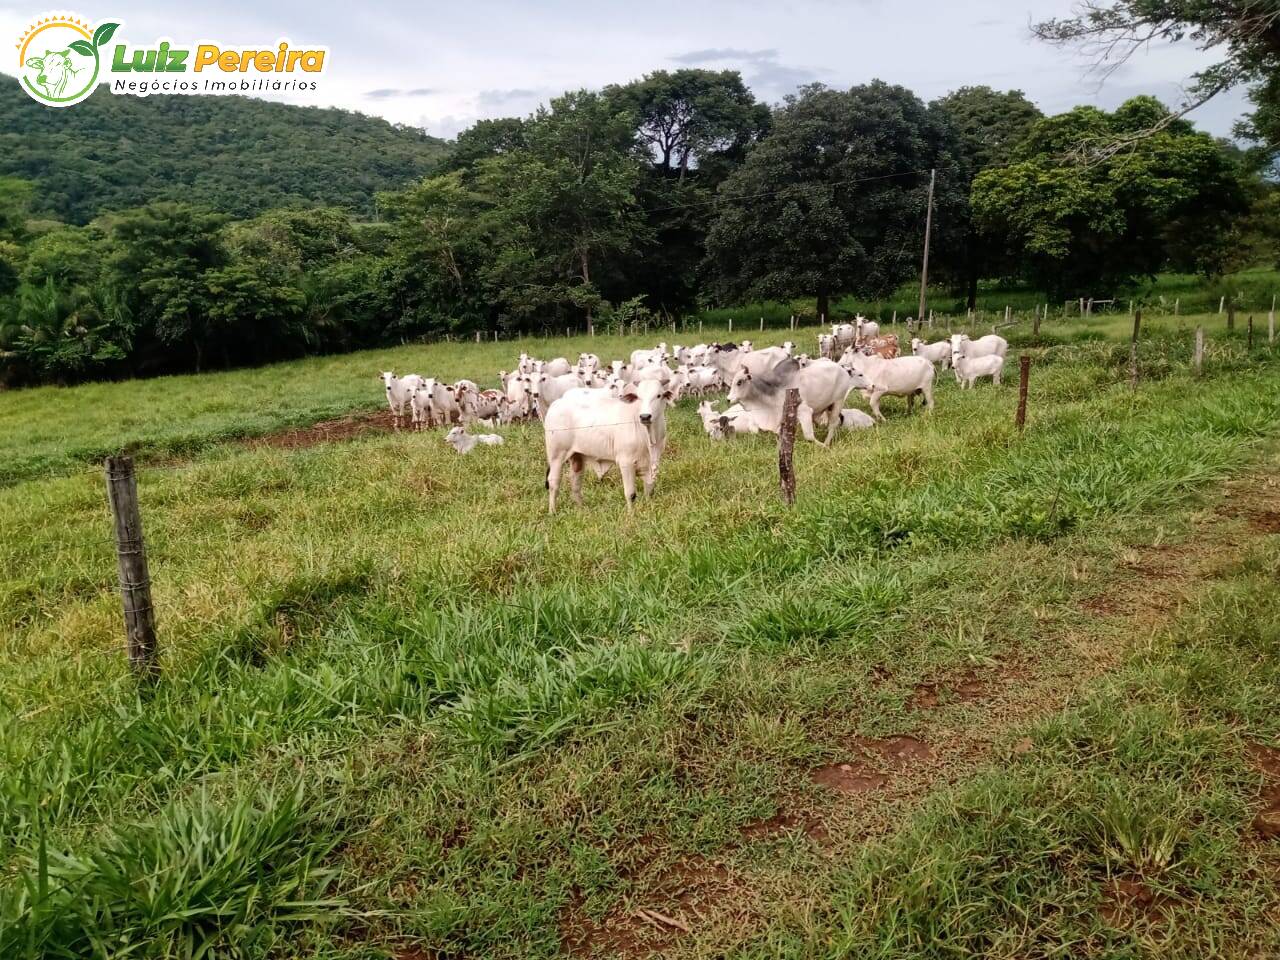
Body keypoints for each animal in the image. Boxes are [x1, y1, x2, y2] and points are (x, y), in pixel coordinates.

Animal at [542, 378, 675, 514]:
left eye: (659, 395)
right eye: (638, 397)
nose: (645, 416)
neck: (648, 435)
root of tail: (556, 403)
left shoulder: (652, 462)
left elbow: (649, 489)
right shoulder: (626, 462)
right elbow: (630, 493)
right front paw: (630, 514)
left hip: (577, 457)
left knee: (575, 483)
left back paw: (581, 509)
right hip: (557, 455)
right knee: (553, 483)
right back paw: (552, 511)